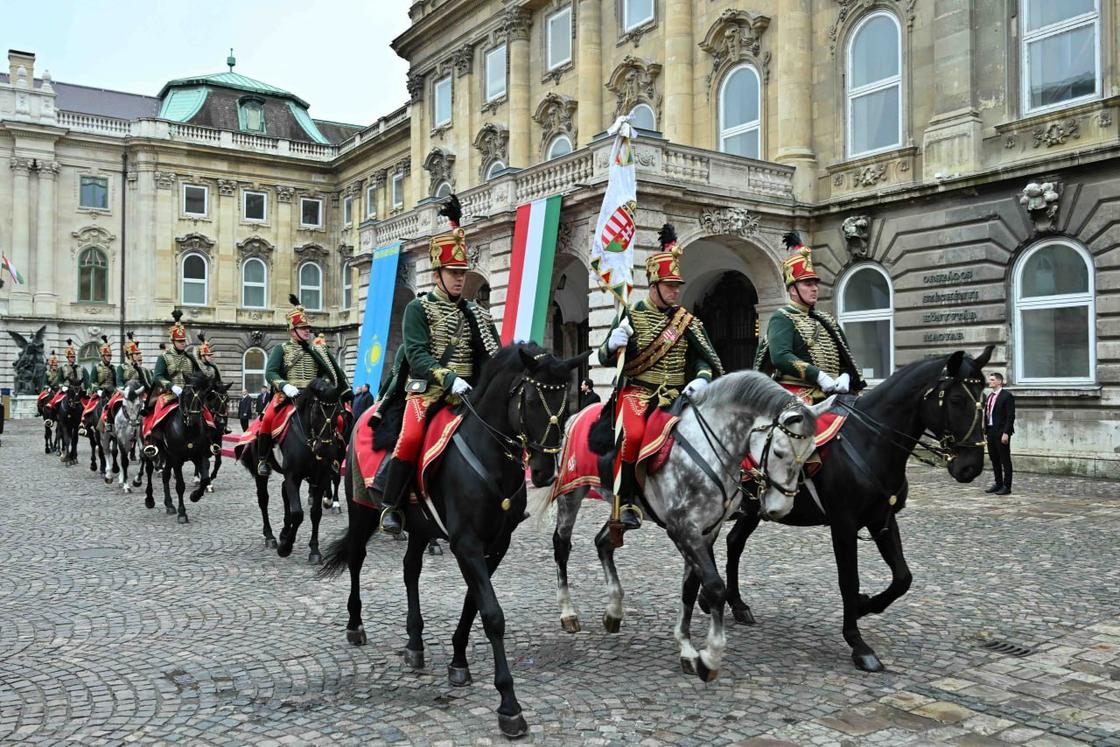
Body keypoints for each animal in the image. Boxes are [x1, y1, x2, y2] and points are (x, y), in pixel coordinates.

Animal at [145, 374, 212, 526]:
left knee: (165, 476)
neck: (188, 429)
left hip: (168, 456)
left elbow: (205, 479)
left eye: (204, 394)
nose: (194, 419)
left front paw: (195, 496)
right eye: (186, 393)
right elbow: (180, 485)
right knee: (149, 470)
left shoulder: (200, 455)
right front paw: (182, 513)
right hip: (151, 452)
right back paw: (149, 499)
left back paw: (169, 504)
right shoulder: (177, 459)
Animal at [241, 380, 347, 559]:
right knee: (263, 499)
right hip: (261, 472)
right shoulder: (293, 476)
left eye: (337, 412)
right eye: (316, 410)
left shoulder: (322, 477)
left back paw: (284, 531)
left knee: (284, 493)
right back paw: (270, 536)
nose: (324, 449)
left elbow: (315, 513)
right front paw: (285, 547)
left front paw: (314, 550)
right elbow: (298, 513)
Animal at [318, 347, 586, 743]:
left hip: (418, 526)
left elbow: (473, 604)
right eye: (530, 400)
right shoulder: (467, 544)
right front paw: (509, 705)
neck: (490, 456)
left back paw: (415, 643)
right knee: (356, 557)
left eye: (564, 403)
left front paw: (458, 660)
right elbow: (492, 614)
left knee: (410, 570)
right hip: (362, 509)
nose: (542, 472)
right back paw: (355, 624)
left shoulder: (495, 545)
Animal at [530, 371, 833, 680]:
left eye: (812, 452)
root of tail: (576, 414)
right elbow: (714, 586)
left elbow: (690, 587)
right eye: (781, 452)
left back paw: (614, 610)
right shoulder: (682, 529)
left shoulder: (706, 531)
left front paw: (687, 648)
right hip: (571, 492)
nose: (779, 508)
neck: (709, 449)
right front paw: (710, 657)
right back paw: (568, 612)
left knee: (603, 542)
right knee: (562, 546)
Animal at [712, 347, 994, 676]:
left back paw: (737, 605)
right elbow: (849, 580)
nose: (970, 467)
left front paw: (865, 606)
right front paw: (858, 644)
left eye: (983, 396)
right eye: (957, 399)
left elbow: (903, 577)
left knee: (734, 544)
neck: (871, 440)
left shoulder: (882, 519)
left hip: (753, 511)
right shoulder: (843, 524)